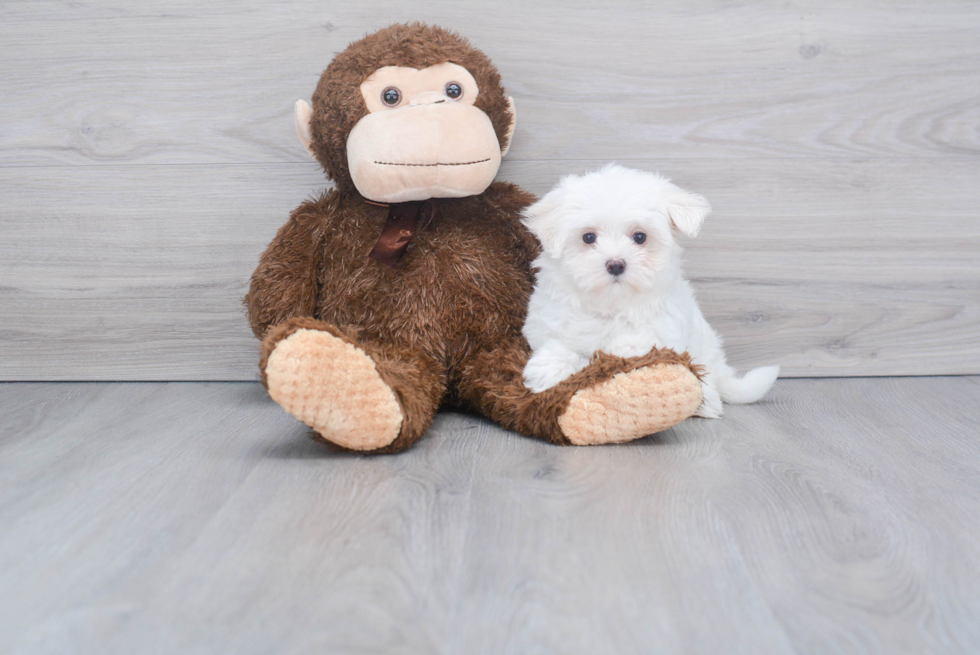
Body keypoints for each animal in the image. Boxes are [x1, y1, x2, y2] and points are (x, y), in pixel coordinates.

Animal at [520, 165, 780, 420]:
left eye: (640, 237)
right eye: (588, 237)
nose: (616, 264)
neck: (612, 305)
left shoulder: (661, 333)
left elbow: (630, 349)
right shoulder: (548, 323)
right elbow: (559, 346)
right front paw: (549, 371)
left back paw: (707, 404)